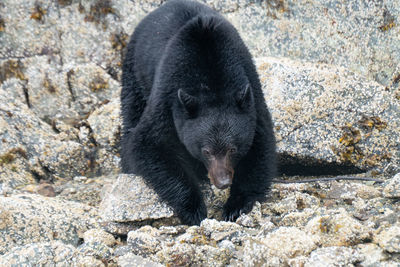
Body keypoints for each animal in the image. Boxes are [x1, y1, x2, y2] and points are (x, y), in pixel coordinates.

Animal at [121, 0, 276, 226]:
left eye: (232, 149)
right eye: (207, 151)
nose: (223, 182)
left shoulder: (251, 92)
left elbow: (260, 145)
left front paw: (235, 206)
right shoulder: (168, 95)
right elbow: (150, 144)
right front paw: (193, 209)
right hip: (134, 73)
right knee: (131, 114)